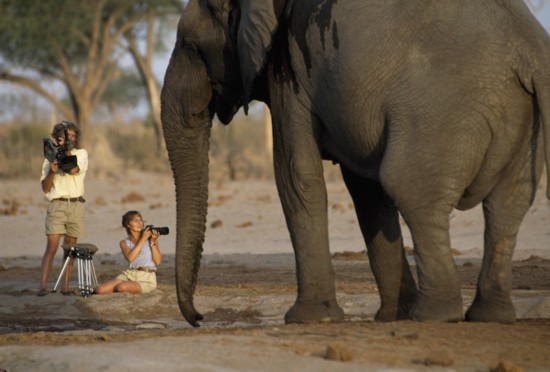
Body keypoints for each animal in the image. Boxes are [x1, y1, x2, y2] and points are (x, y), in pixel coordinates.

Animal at [161, 0, 550, 326]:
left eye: (189, 45)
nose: (199, 318)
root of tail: (531, 53)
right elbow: (367, 194)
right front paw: (390, 316)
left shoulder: (290, 67)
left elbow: (295, 175)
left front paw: (310, 319)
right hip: (521, 122)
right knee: (506, 208)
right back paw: (489, 317)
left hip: (442, 114)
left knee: (413, 193)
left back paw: (434, 316)